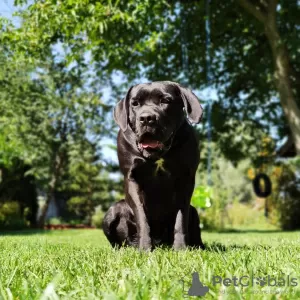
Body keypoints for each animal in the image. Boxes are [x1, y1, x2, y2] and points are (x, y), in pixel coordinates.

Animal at [102, 81, 205, 250]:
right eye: (135, 103)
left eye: (166, 101)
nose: (146, 118)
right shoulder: (132, 178)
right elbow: (141, 216)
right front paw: (144, 248)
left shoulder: (186, 179)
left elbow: (181, 217)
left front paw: (181, 248)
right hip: (112, 212)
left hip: (194, 212)